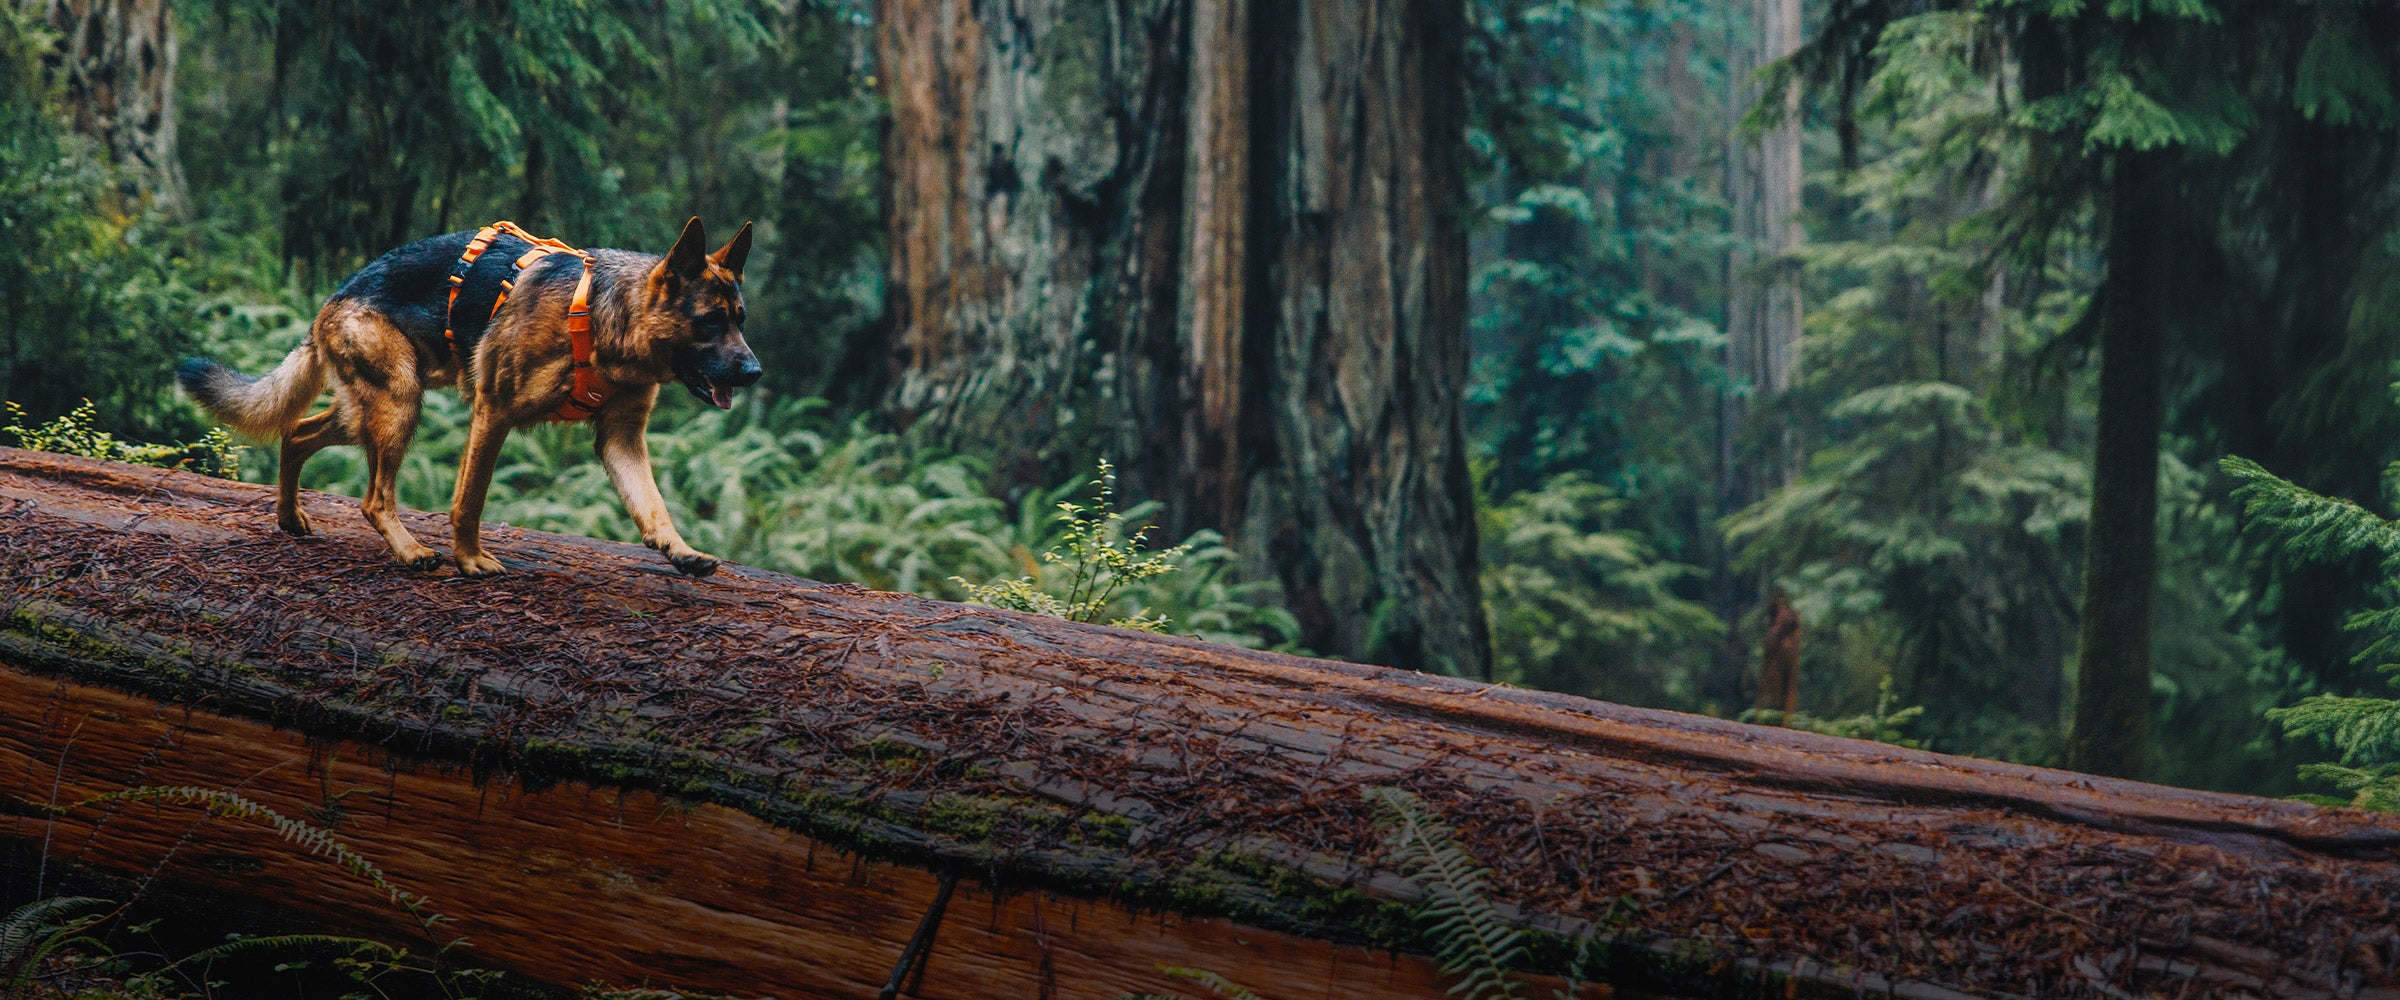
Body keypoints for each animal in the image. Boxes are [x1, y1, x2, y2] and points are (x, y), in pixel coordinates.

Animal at [177, 217, 758, 575]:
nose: (754, 370)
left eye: (741, 320)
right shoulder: (494, 412)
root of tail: (335, 296)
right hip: (398, 404)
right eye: (711, 321)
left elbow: (653, 506)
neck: (605, 320)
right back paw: (410, 551)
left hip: (371, 408)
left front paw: (679, 550)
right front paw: (470, 559)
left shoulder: (621, 440)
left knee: (297, 433)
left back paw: (289, 517)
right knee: (373, 499)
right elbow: (470, 500)